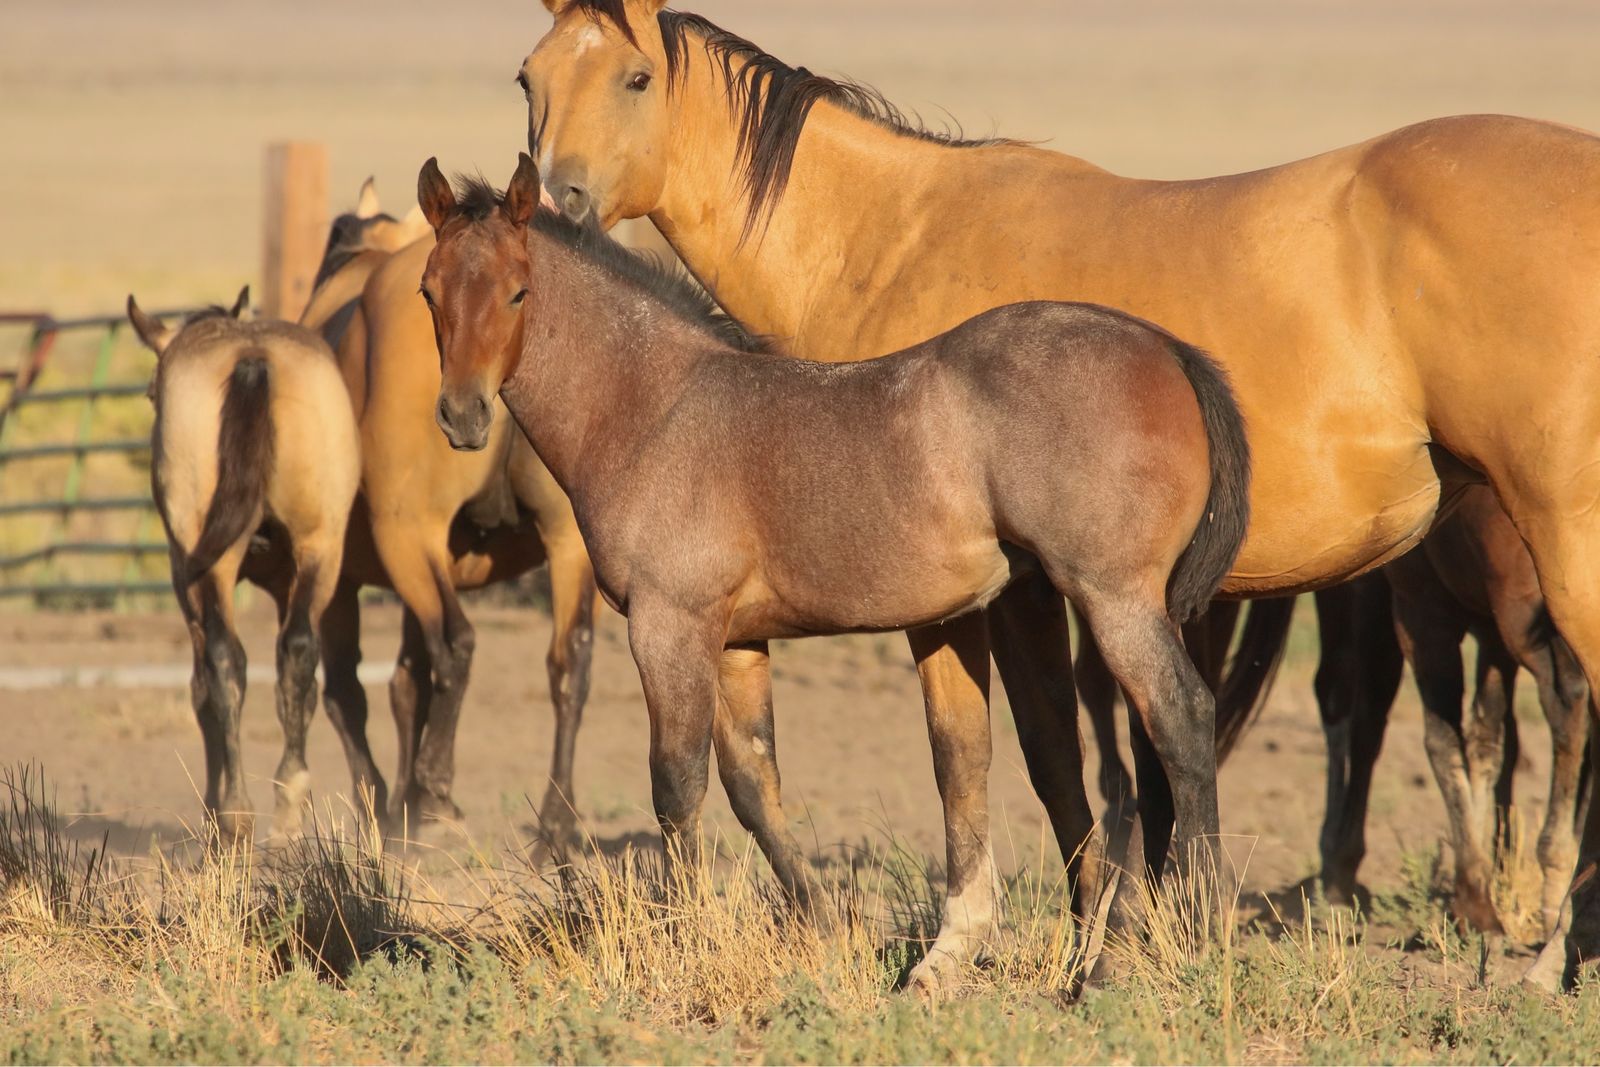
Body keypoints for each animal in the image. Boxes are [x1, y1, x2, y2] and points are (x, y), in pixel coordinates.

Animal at [127, 290, 360, 840]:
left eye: (151, 393)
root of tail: (252, 359)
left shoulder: (185, 578)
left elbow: (203, 691)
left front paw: (216, 808)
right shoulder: (288, 579)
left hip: (207, 565)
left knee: (225, 660)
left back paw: (235, 812)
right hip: (321, 546)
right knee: (298, 650)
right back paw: (289, 806)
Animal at [419, 154, 1252, 991]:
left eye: (518, 290)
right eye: (428, 289)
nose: (462, 416)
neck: (657, 408)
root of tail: (1167, 350)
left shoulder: (669, 624)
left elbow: (676, 784)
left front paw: (677, 939)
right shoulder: (736, 641)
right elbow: (753, 784)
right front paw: (823, 925)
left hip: (1114, 599)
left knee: (1182, 721)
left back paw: (1185, 930)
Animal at [520, 0, 1600, 987]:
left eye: (635, 79)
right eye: (530, 78)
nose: (554, 202)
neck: (892, 240)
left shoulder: (977, 597)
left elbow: (995, 754)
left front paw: (983, 945)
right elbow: (1057, 762)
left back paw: (1546, 951)